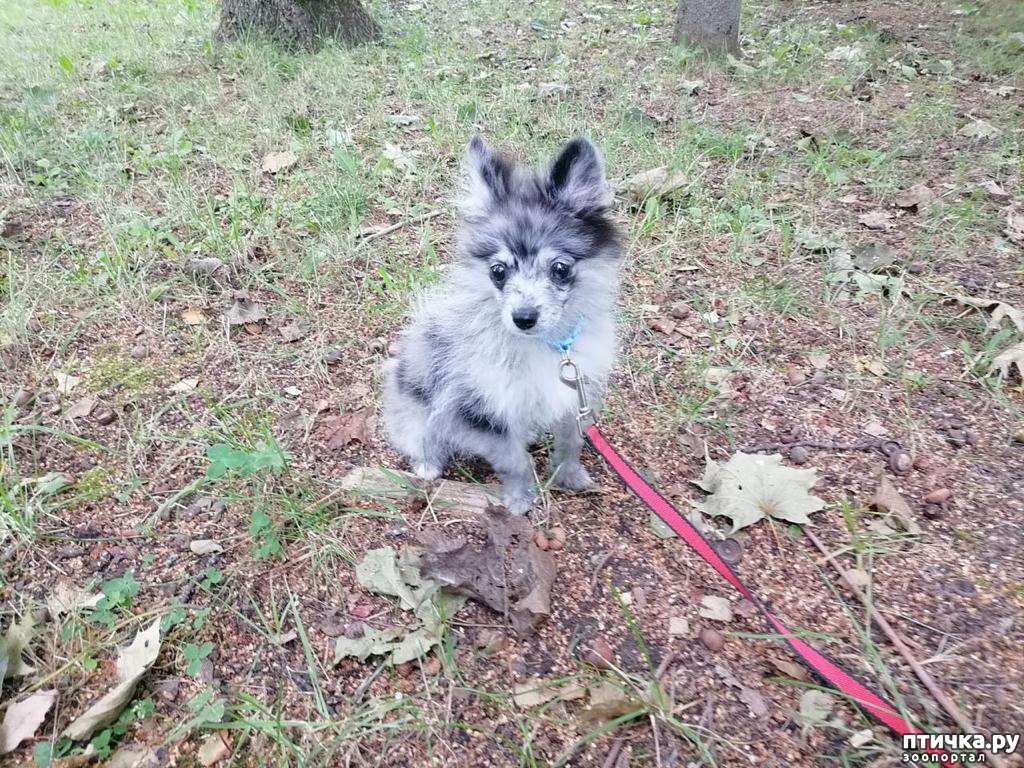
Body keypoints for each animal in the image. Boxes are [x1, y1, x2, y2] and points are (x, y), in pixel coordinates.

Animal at [380, 137, 618, 518]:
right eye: (498, 271)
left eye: (560, 269)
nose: (523, 317)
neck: (544, 346)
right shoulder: (480, 411)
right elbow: (514, 461)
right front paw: (521, 500)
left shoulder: (576, 393)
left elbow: (571, 442)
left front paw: (569, 476)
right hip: (416, 407)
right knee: (421, 436)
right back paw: (428, 464)